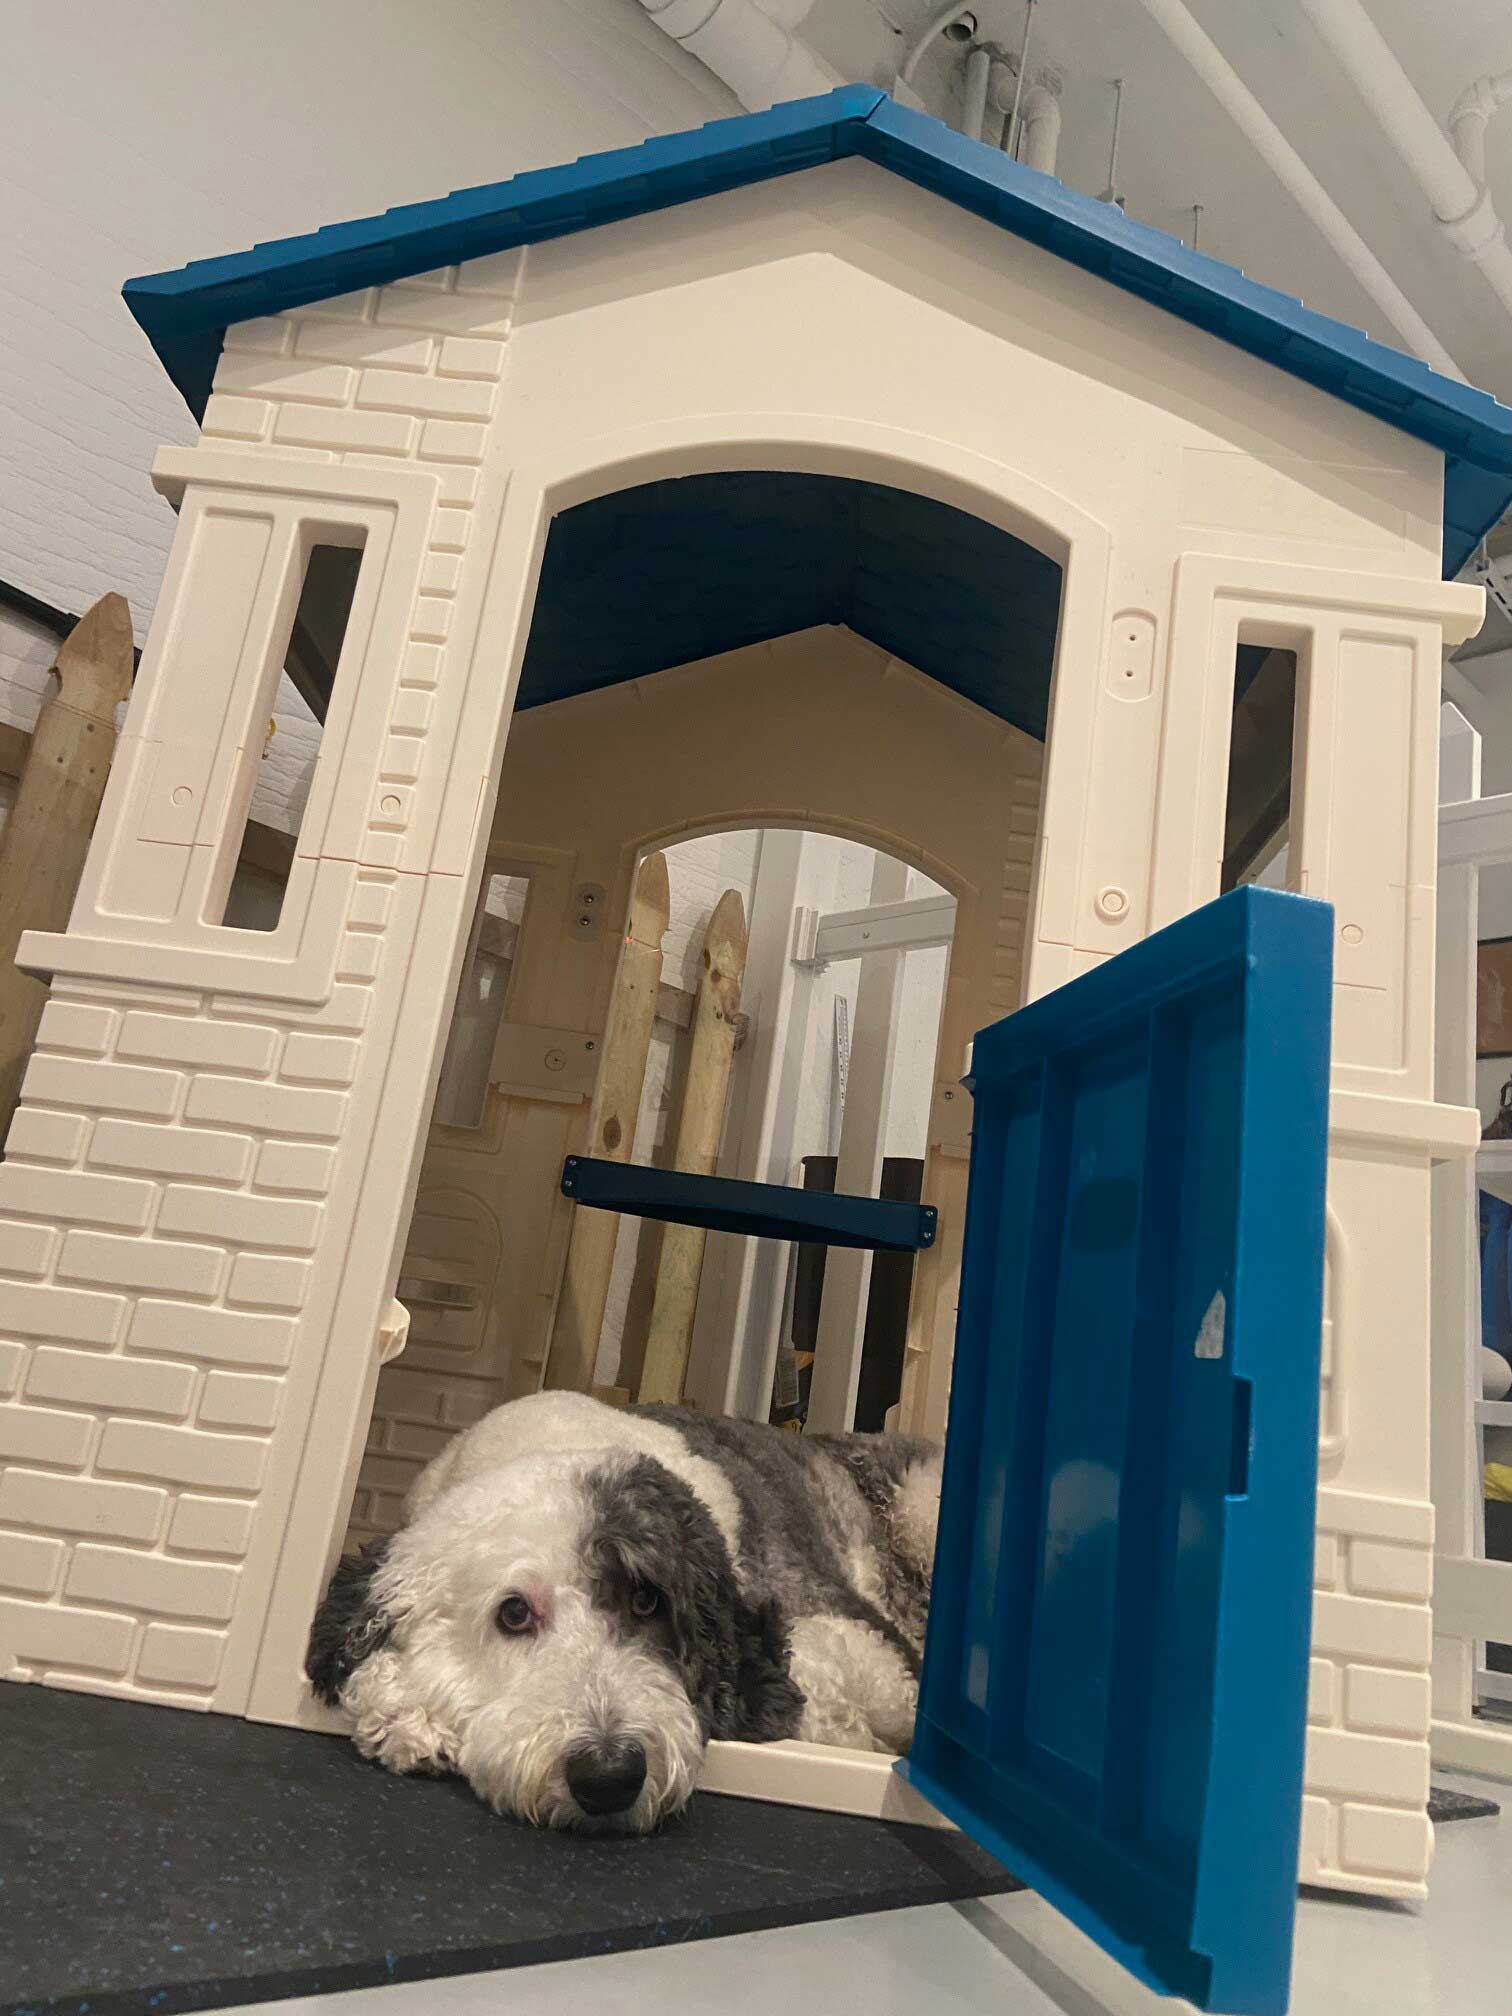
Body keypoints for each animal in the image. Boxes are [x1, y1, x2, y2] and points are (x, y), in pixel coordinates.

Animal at [306, 1391, 941, 1834]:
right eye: (513, 1614)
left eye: (646, 1601)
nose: (609, 1776)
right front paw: (407, 1717)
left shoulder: (837, 1628)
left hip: (922, 1505)